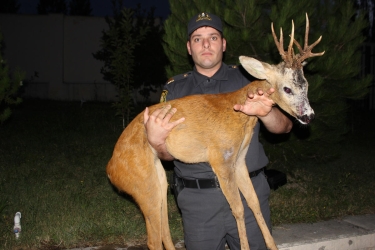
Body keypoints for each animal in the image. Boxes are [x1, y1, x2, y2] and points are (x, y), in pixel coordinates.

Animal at [106, 13, 326, 250]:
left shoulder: (239, 159)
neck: (241, 115)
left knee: (164, 230)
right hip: (141, 184)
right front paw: (245, 246)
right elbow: (238, 209)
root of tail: (111, 170)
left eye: (306, 85)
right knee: (153, 239)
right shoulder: (221, 158)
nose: (309, 116)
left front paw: (272, 245)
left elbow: (255, 202)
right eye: (287, 88)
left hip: (158, 180)